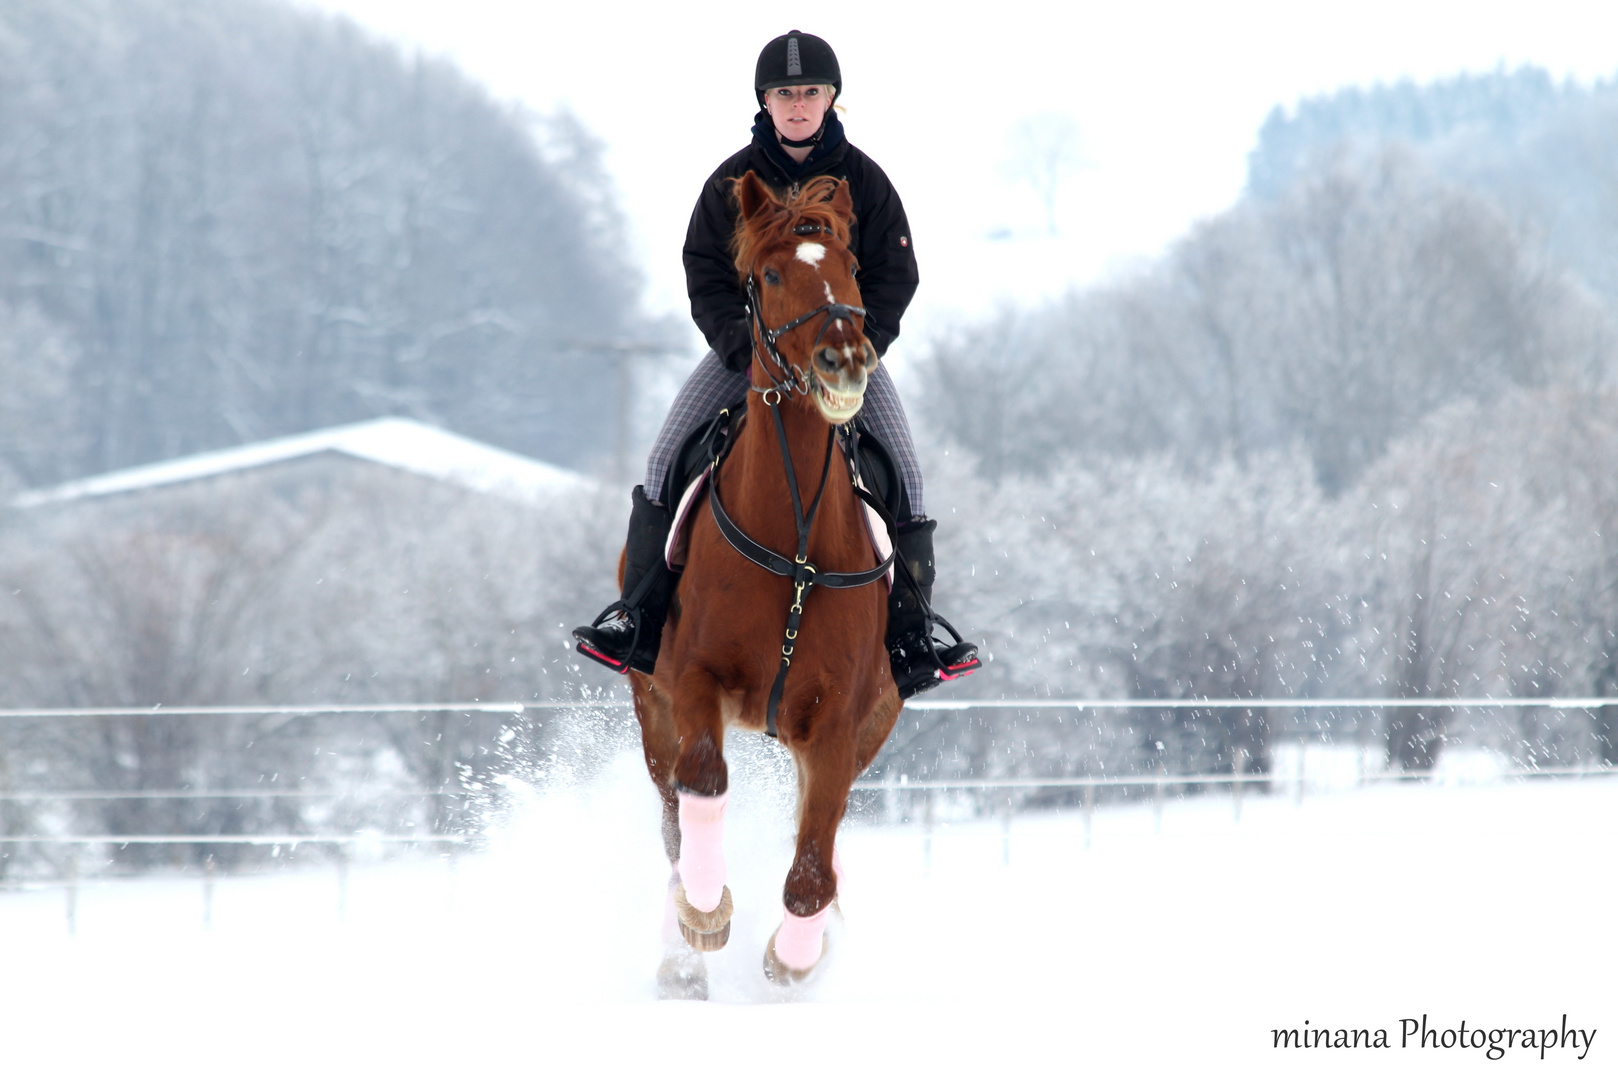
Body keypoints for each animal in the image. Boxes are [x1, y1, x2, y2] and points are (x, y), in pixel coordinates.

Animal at [627, 170, 906, 997]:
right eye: (774, 275)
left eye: (852, 267)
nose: (845, 358)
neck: (796, 544)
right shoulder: (693, 684)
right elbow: (705, 784)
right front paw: (704, 915)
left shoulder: (841, 725)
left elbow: (812, 866)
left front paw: (795, 954)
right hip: (651, 710)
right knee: (673, 820)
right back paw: (681, 954)